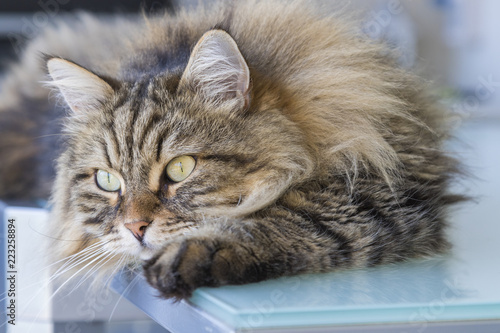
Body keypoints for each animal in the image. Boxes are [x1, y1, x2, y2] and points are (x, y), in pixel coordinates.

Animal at [0, 0, 464, 298]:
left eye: (181, 168)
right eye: (106, 180)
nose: (135, 228)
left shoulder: (383, 190)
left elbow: (285, 218)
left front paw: (192, 254)